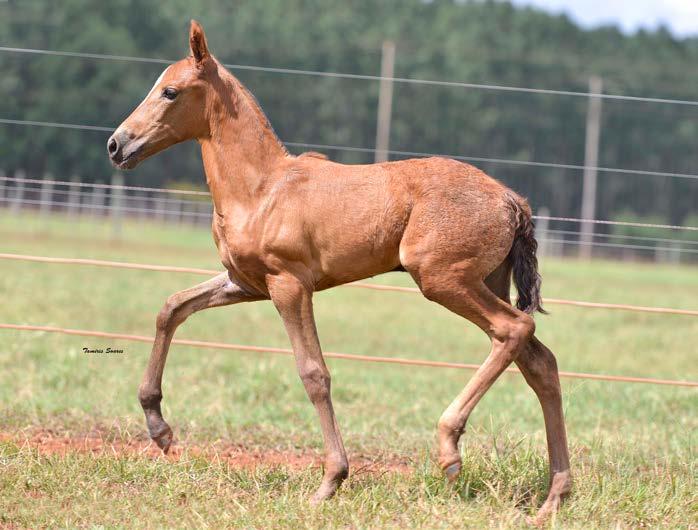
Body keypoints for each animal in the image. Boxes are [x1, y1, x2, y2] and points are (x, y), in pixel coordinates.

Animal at [107, 21, 564, 520]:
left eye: (170, 91)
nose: (117, 144)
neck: (262, 189)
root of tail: (512, 200)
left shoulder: (289, 285)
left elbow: (314, 374)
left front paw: (331, 480)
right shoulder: (245, 283)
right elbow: (171, 309)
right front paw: (160, 430)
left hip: (444, 280)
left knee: (514, 328)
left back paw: (450, 448)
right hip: (486, 281)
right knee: (539, 361)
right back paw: (554, 496)